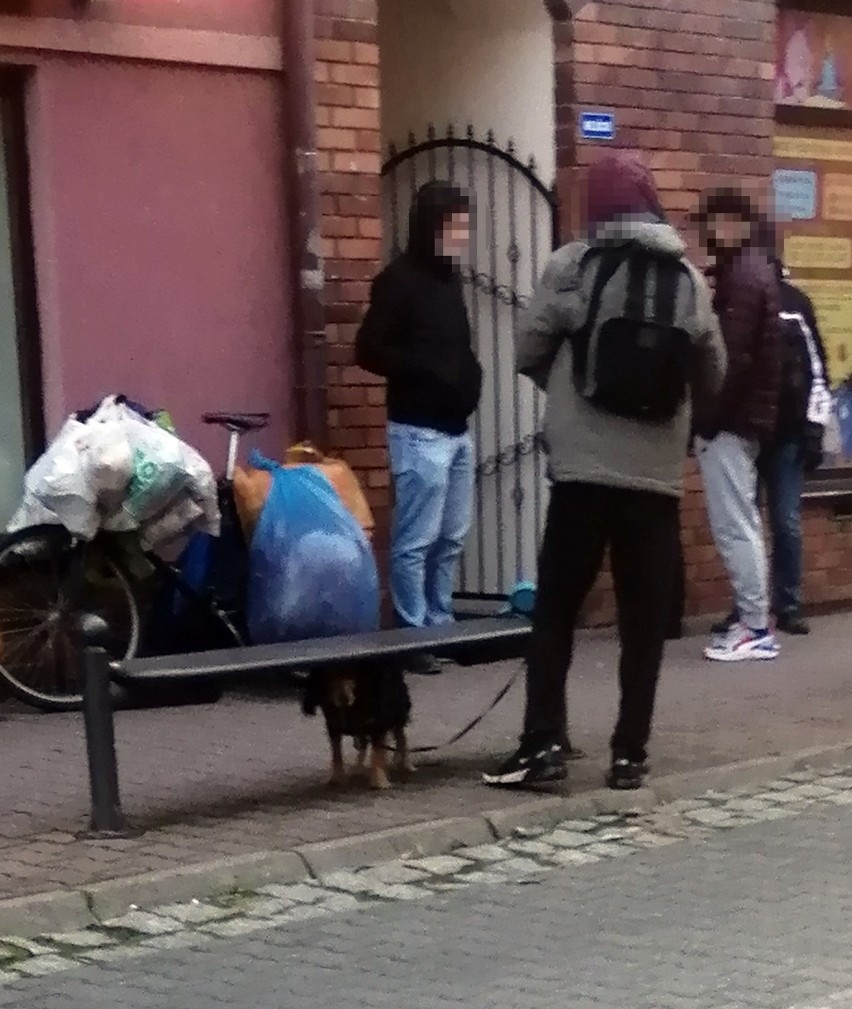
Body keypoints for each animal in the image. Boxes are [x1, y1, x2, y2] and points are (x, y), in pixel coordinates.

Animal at [302, 657, 411, 791]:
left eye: (352, 674)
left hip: (397, 712)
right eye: (330, 675)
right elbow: (337, 753)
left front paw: (379, 781)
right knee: (364, 744)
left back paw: (406, 764)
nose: (343, 698)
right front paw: (337, 777)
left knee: (400, 736)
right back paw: (359, 767)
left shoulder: (376, 723)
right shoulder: (333, 726)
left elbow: (377, 752)